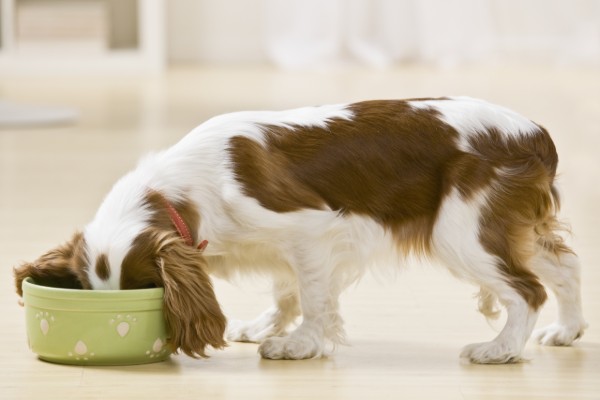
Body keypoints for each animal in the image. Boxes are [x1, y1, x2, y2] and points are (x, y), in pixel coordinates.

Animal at [14, 97, 584, 362]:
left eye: (146, 290)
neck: (183, 190)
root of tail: (535, 134)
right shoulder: (282, 248)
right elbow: (286, 290)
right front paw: (268, 325)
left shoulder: (309, 231)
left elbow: (312, 296)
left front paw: (298, 344)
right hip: (507, 227)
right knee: (564, 267)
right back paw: (567, 331)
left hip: (461, 232)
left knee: (527, 290)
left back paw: (499, 350)